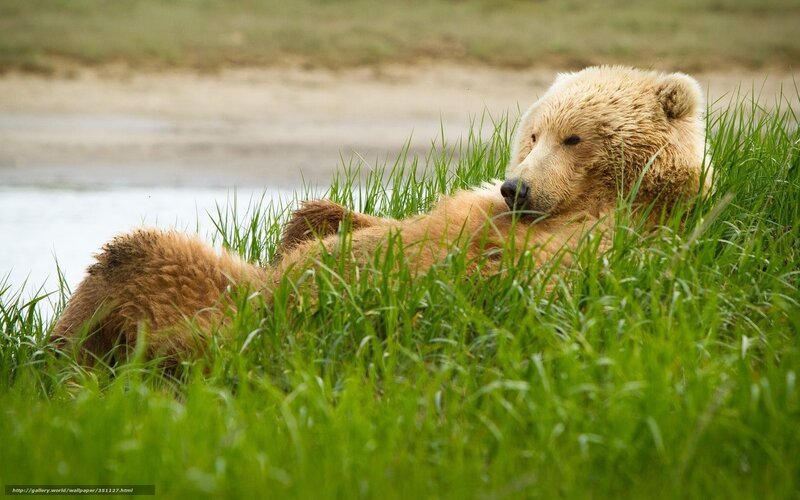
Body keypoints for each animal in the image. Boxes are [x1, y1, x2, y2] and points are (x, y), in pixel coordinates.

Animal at [51, 66, 711, 363]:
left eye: (574, 137)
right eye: (533, 132)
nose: (515, 188)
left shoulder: (587, 247)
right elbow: (352, 223)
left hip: (219, 316)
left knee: (137, 255)